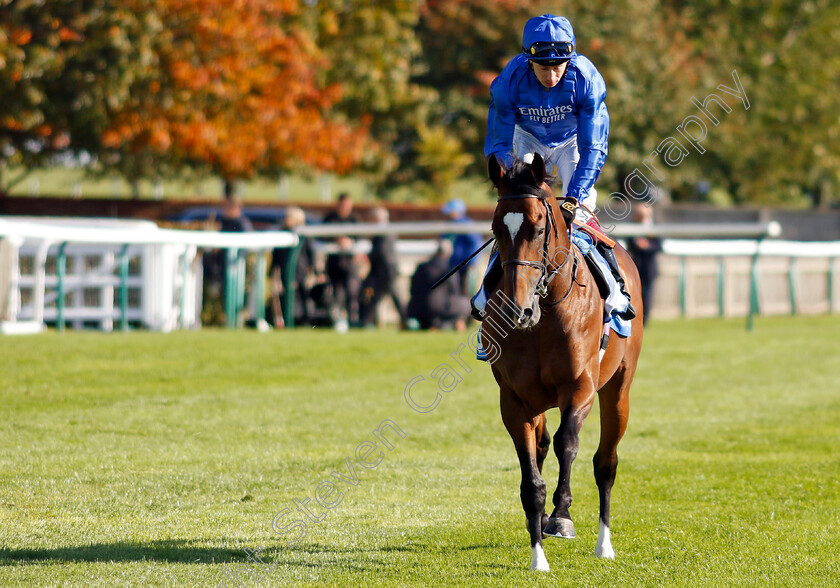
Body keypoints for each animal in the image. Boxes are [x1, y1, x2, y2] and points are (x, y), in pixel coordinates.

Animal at [480, 152, 644, 568]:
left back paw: (604, 544)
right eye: (496, 228)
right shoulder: (513, 398)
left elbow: (567, 442)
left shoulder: (580, 386)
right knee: (541, 445)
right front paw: (538, 554)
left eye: (538, 229)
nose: (517, 309)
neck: (544, 316)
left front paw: (561, 516)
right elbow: (531, 477)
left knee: (605, 463)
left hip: (618, 388)